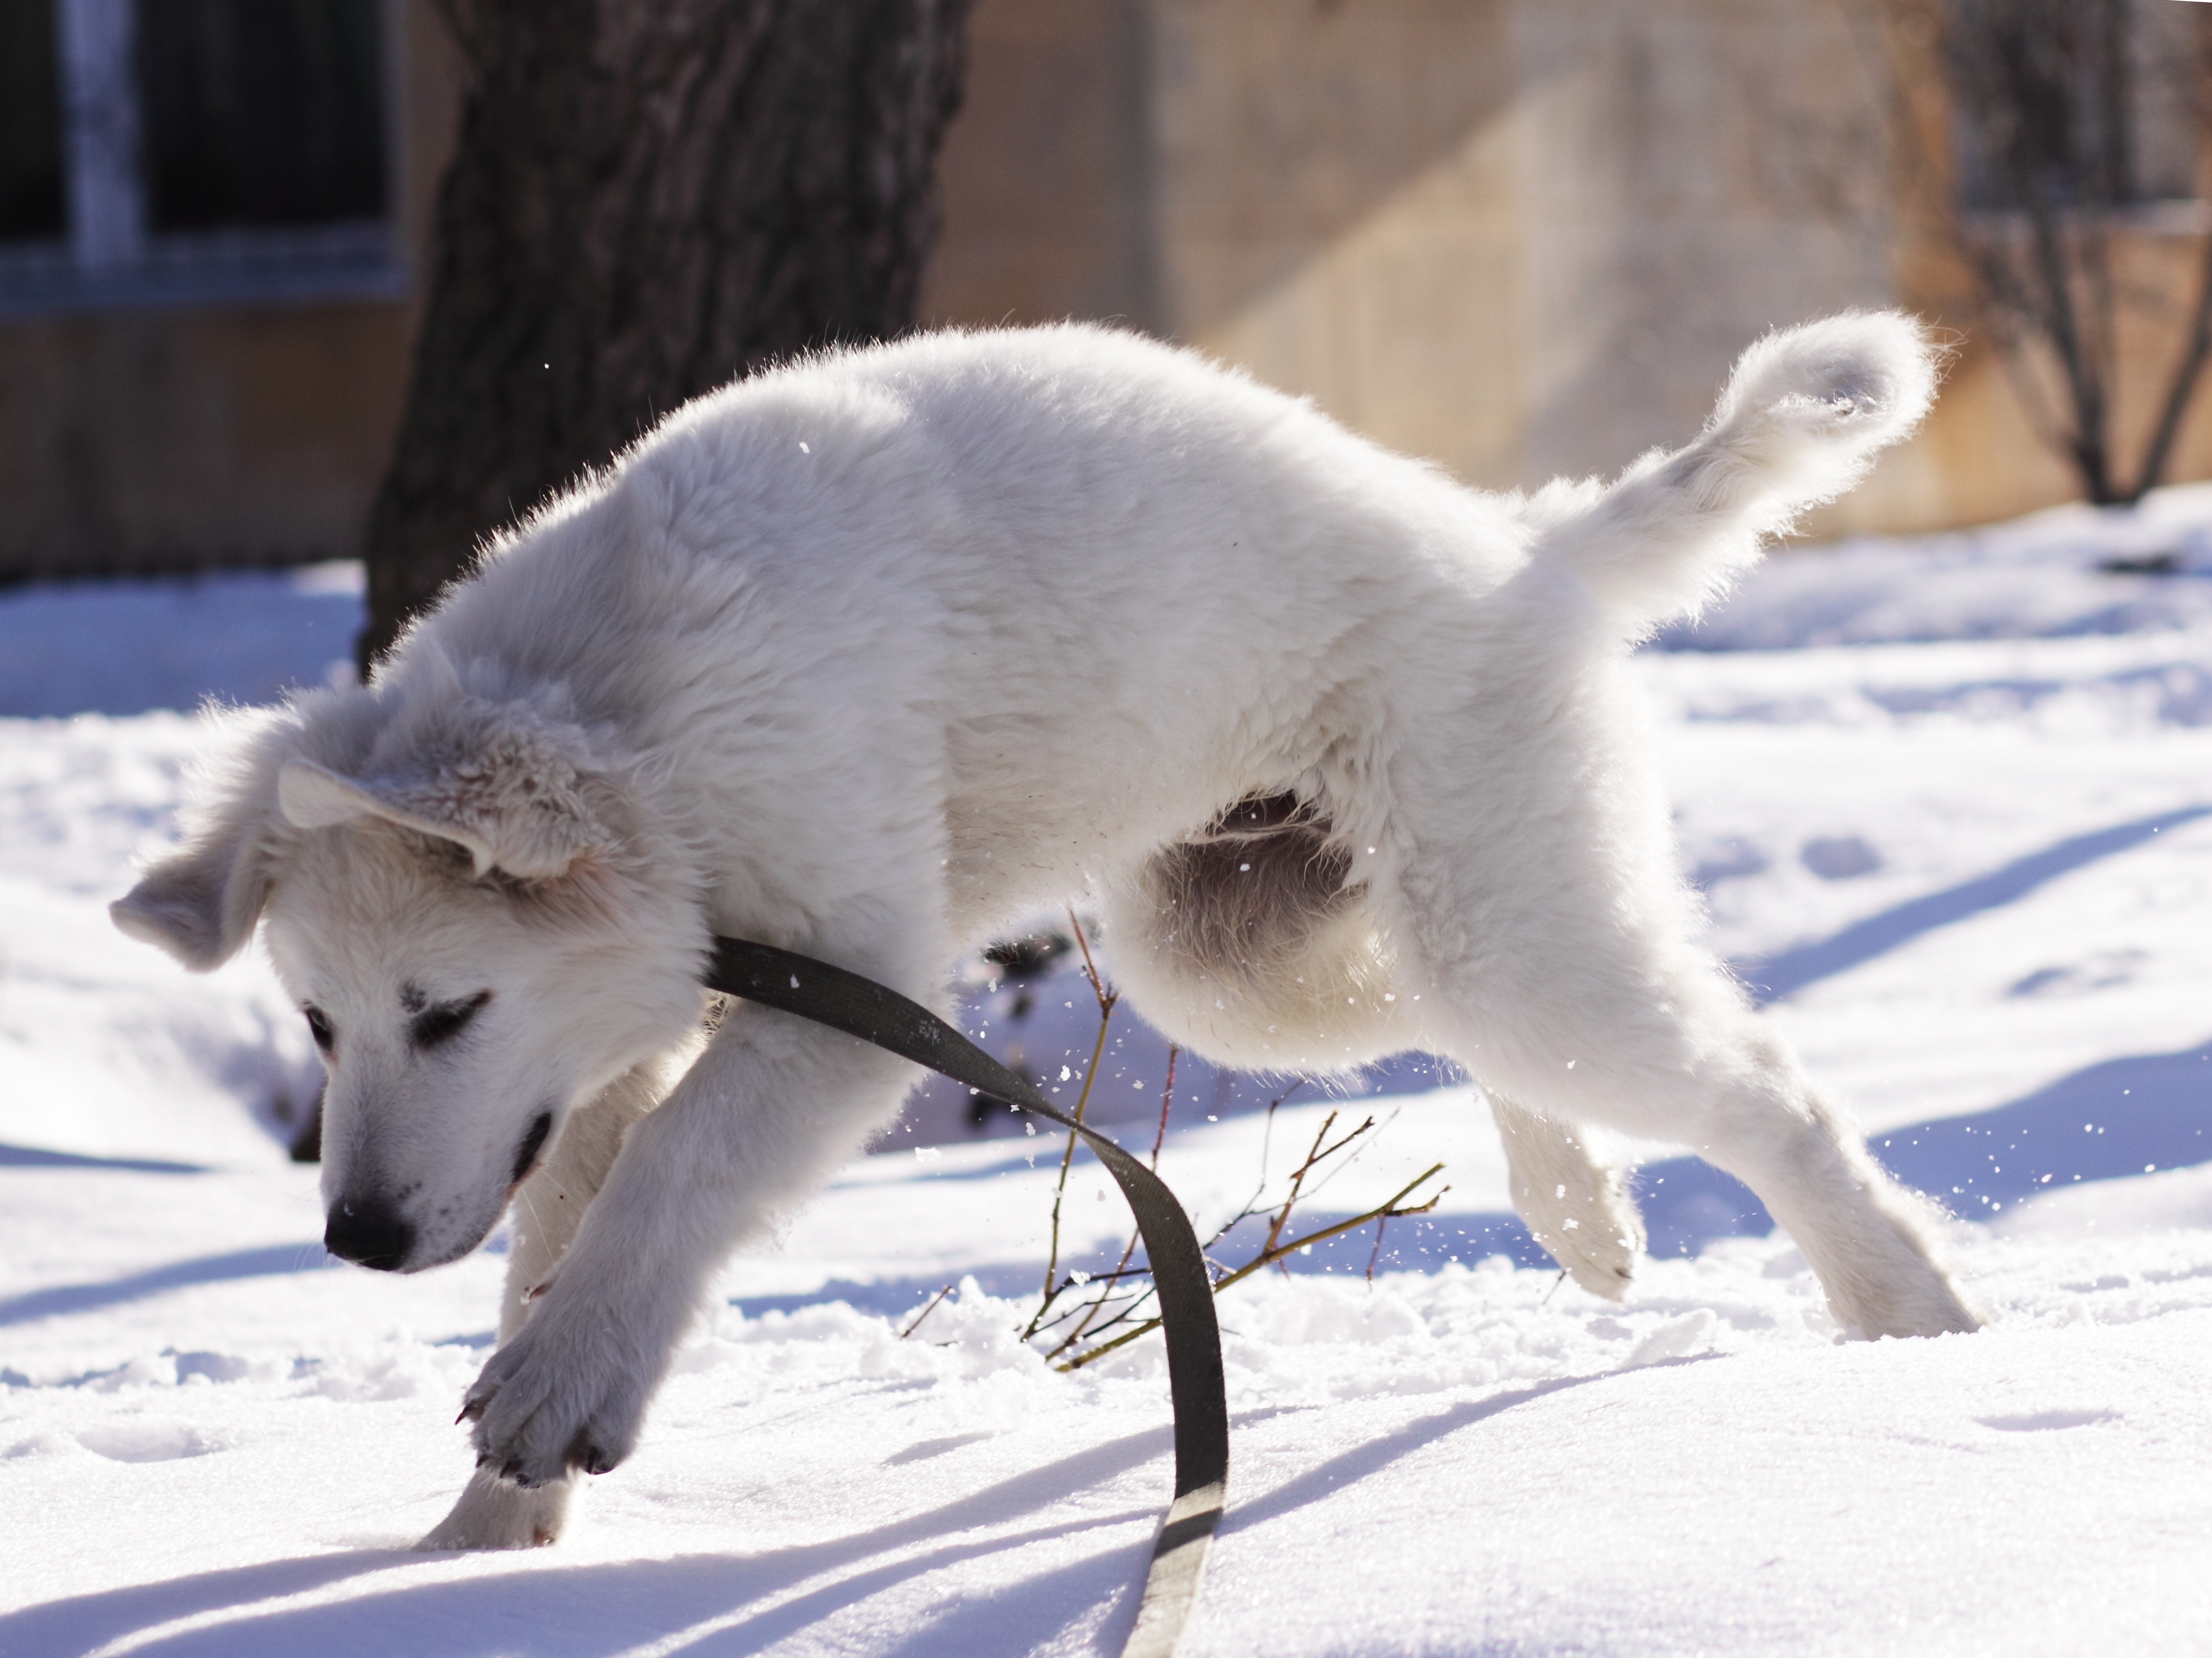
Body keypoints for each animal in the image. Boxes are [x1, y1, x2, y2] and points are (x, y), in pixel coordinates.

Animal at [112, 313, 1981, 1549]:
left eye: (447, 1007)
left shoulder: (840, 995)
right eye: (321, 1026)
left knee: (1760, 1089)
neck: (637, 719)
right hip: (1244, 958)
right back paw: (1585, 1208)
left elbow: (669, 1174)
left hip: (1493, 922)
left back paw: (1911, 1309)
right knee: (1470, 1034)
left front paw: (556, 1398)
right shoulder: (629, 1033)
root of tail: (1526, 544)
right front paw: (482, 1535)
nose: (355, 1239)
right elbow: (566, 1218)